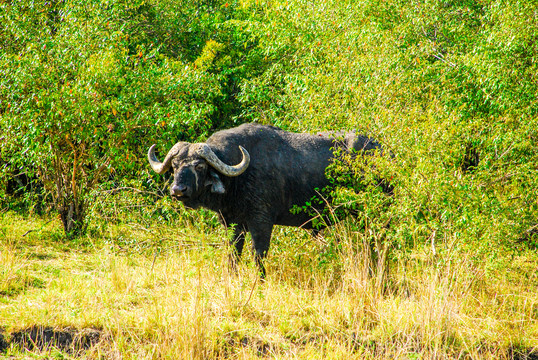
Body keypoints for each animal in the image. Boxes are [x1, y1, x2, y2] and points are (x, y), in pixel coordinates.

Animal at [147, 122, 382, 278]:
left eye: (199, 165)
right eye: (175, 165)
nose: (178, 190)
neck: (238, 179)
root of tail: (382, 151)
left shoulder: (261, 221)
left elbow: (259, 253)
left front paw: (260, 280)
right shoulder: (232, 222)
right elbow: (233, 252)